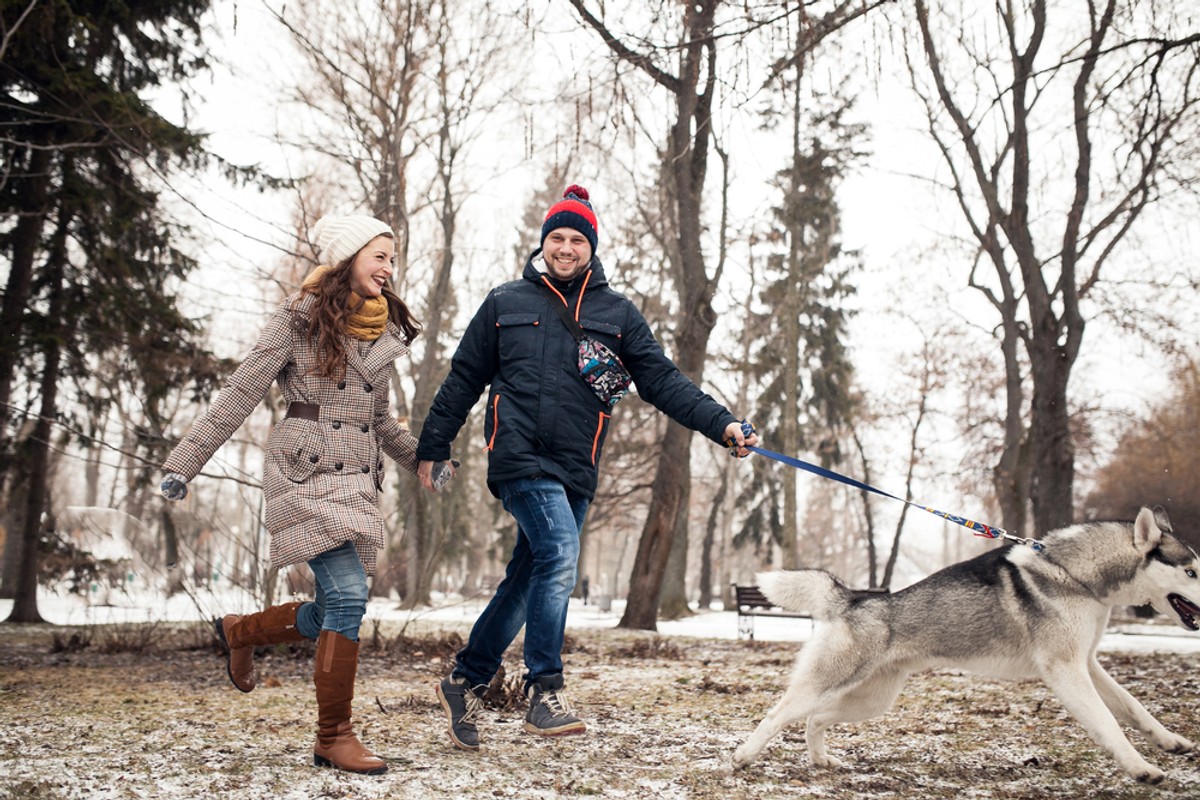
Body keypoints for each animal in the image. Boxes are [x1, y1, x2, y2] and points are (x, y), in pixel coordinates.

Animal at [729, 506, 1200, 782]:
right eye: (1192, 571)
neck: (1073, 574)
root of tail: (854, 598)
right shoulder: (1066, 671)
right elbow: (1107, 722)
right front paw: (1141, 768)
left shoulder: (1087, 664)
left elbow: (1134, 709)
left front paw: (1170, 742)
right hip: (829, 683)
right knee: (779, 714)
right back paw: (744, 756)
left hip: (872, 699)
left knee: (815, 720)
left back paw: (822, 761)